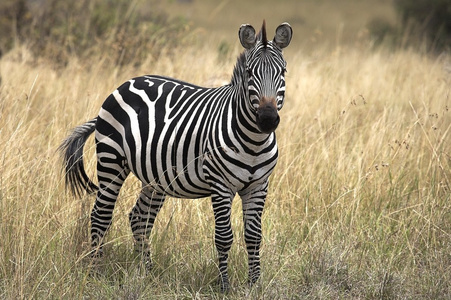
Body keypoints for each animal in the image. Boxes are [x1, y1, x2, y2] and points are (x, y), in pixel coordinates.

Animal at [59, 19, 294, 292]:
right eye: (249, 72)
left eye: (283, 72)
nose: (267, 120)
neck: (253, 142)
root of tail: (128, 82)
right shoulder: (220, 185)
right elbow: (224, 236)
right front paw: (224, 286)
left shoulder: (259, 185)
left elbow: (254, 236)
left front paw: (254, 284)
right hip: (111, 160)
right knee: (101, 215)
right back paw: (96, 272)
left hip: (154, 176)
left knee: (140, 218)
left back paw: (146, 272)